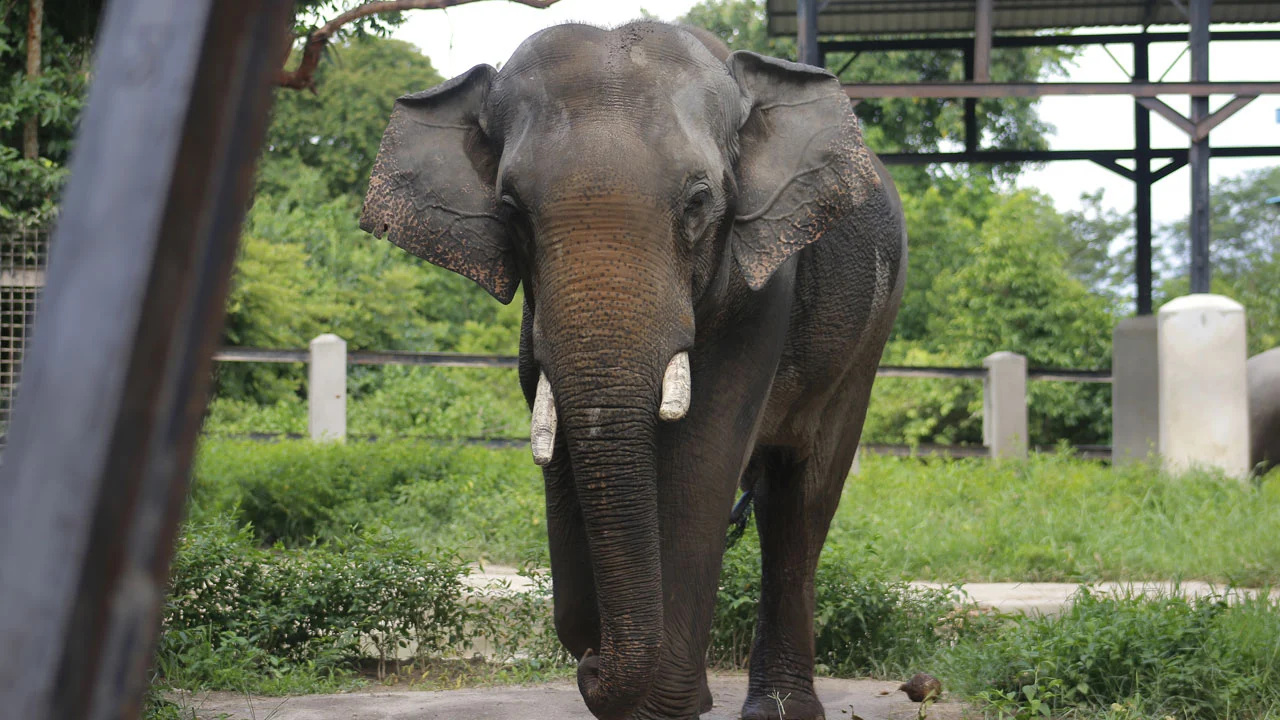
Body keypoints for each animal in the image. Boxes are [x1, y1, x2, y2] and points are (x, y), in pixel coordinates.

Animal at [360, 21, 906, 720]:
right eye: (510, 210)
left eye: (699, 201)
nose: (592, 664)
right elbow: (565, 447)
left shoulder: (760, 286)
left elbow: (702, 453)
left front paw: (660, 706)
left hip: (868, 340)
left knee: (800, 499)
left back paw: (778, 709)